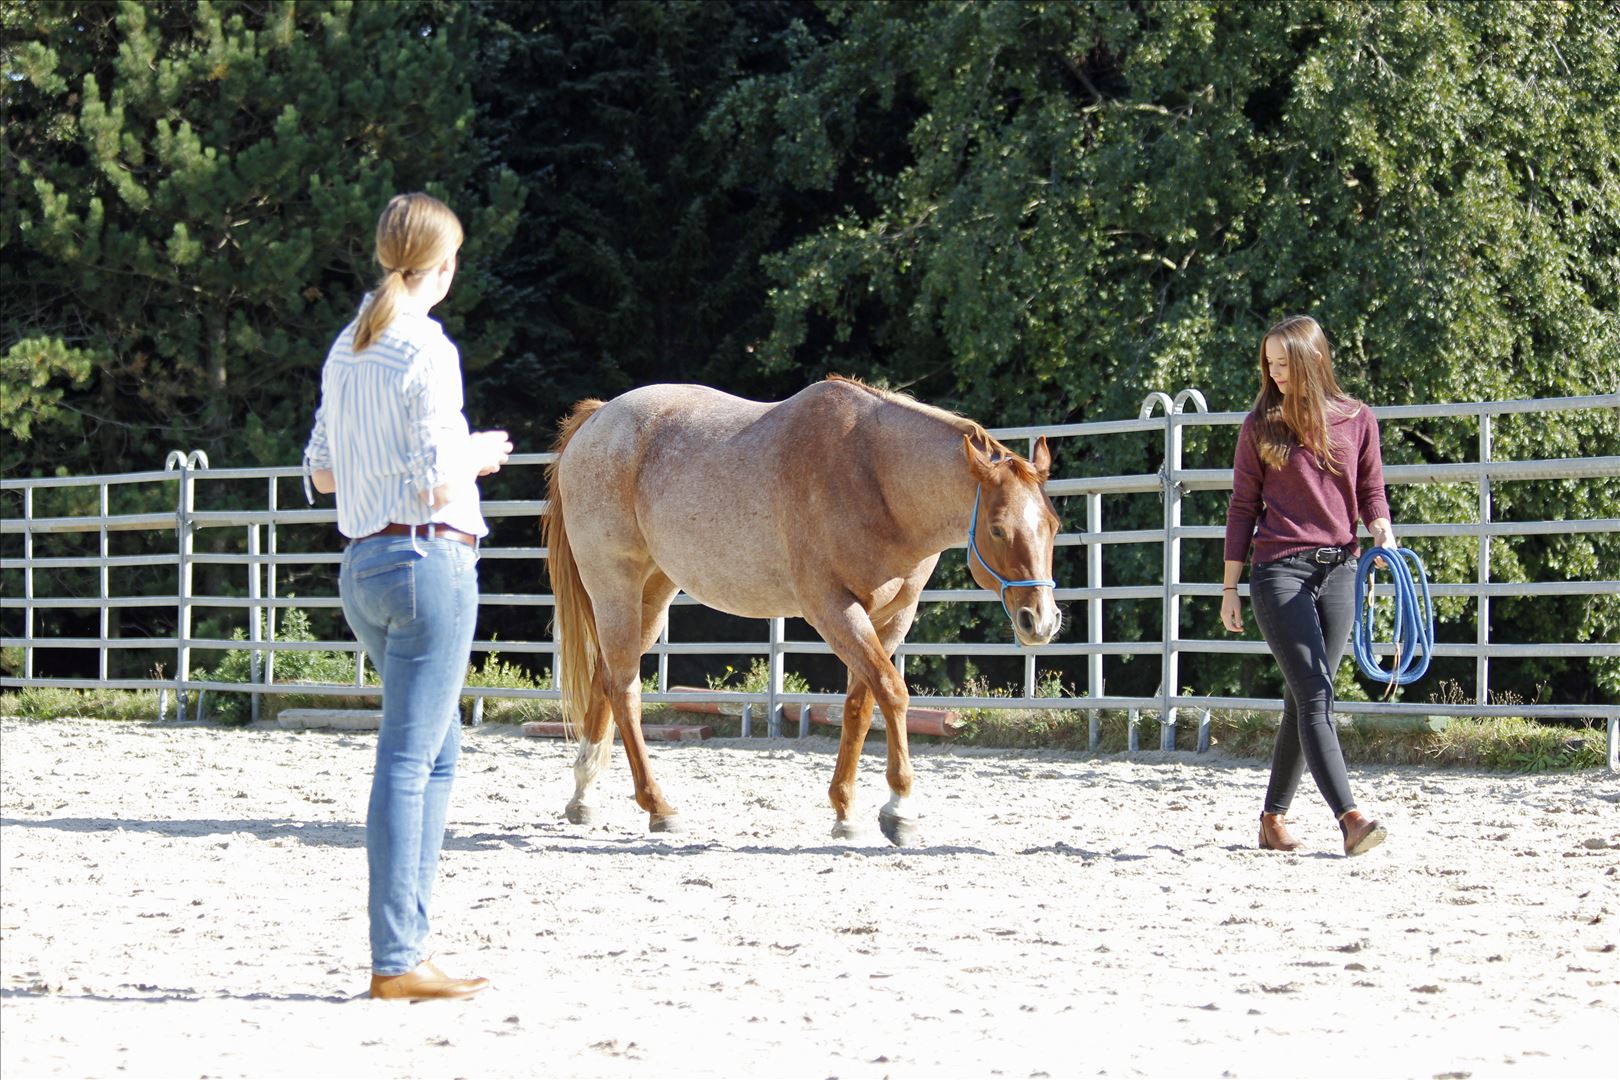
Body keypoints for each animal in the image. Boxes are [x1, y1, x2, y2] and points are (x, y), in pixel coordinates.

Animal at [542, 376, 1061, 846]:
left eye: (1053, 524)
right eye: (997, 528)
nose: (1041, 620)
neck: (873, 475)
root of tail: (599, 418)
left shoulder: (891, 618)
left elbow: (860, 705)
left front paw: (845, 812)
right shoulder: (833, 609)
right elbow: (893, 693)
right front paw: (899, 810)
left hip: (652, 595)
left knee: (607, 678)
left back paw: (584, 797)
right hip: (615, 587)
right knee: (625, 689)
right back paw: (658, 807)